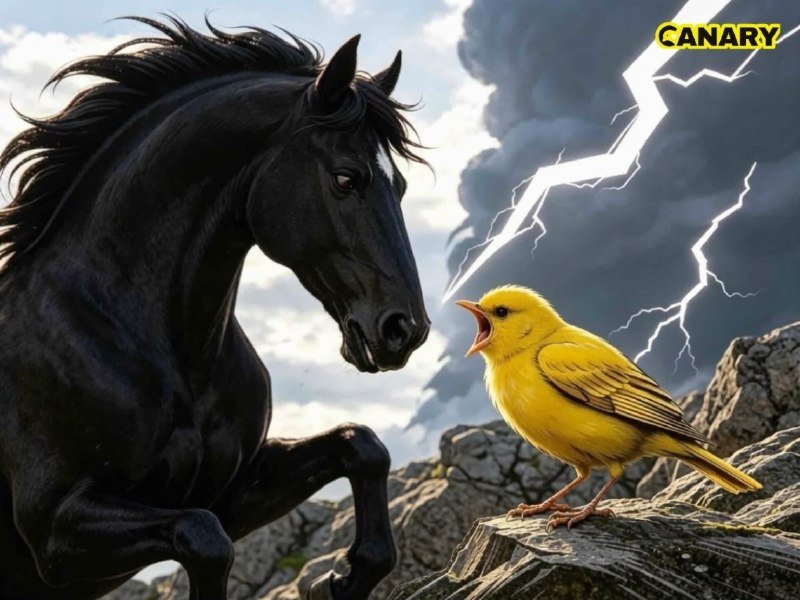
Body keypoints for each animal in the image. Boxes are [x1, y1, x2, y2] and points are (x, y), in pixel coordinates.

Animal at [0, 17, 430, 600]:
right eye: (346, 177)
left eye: (401, 184)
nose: (405, 329)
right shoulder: (56, 532)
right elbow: (204, 539)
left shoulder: (233, 491)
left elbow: (361, 446)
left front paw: (343, 578)